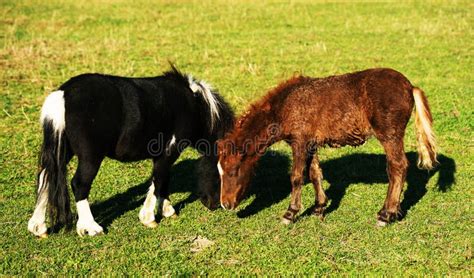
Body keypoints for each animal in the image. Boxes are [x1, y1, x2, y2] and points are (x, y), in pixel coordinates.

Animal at [27, 65, 233, 237]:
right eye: (223, 173)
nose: (216, 204)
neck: (192, 105)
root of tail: (63, 94)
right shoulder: (169, 152)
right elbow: (158, 179)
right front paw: (149, 218)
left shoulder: (163, 156)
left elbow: (163, 180)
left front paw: (167, 210)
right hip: (91, 157)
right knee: (79, 184)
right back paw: (91, 228)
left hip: (63, 150)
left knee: (45, 177)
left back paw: (38, 227)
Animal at [216, 67, 436, 226]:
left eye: (233, 170)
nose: (225, 204)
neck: (285, 106)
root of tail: (410, 87)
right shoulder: (311, 144)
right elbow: (315, 174)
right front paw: (319, 208)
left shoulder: (300, 142)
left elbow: (296, 177)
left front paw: (290, 213)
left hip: (390, 136)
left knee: (397, 167)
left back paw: (386, 215)